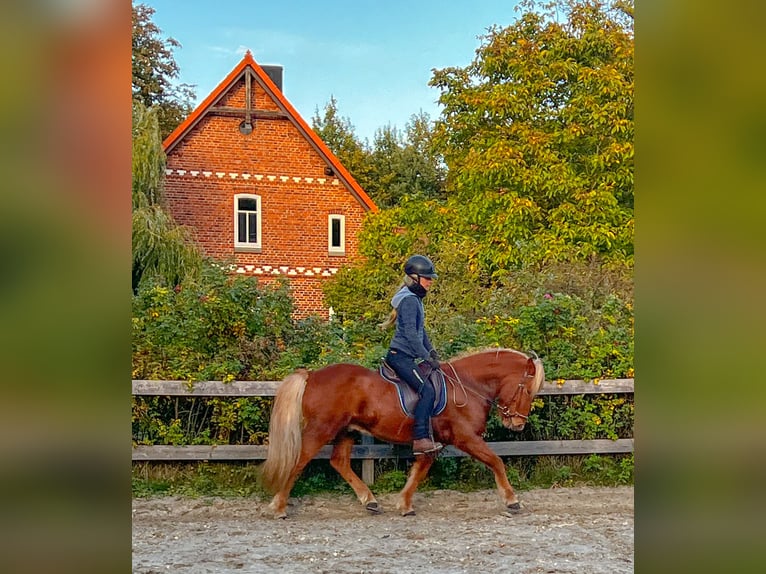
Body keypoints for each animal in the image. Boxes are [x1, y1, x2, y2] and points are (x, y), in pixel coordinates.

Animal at [264, 348, 544, 520]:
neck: (466, 386)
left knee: (339, 461)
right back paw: (278, 507)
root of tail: (311, 375)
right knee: (299, 461)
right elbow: (496, 461)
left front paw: (405, 504)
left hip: (346, 431)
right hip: (321, 429)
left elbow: (419, 470)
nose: (517, 424)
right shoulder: (465, 437)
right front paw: (512, 500)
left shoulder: (433, 442)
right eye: (528, 390)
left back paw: (370, 501)